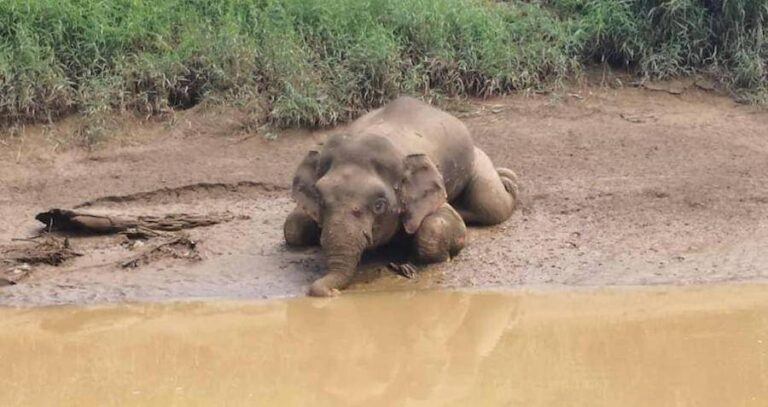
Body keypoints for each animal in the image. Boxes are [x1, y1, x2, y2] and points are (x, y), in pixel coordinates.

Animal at [284, 96, 518, 297]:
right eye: (319, 198)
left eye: (379, 205)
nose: (332, 293)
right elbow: (292, 227)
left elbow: (437, 227)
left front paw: (444, 258)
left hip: (475, 161)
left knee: (491, 204)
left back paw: (509, 181)